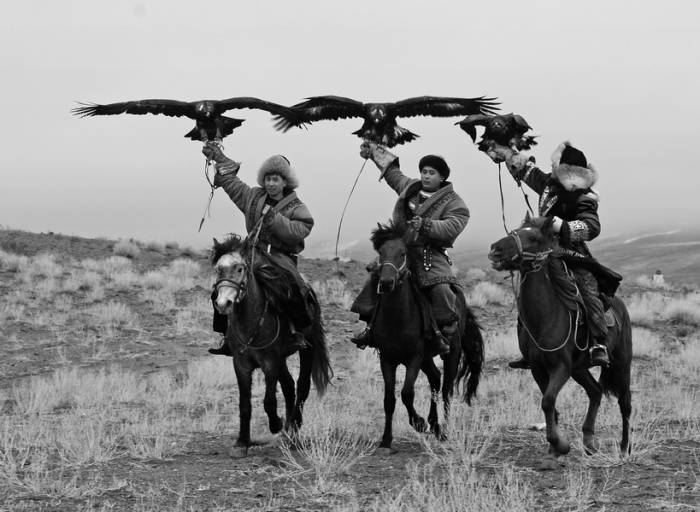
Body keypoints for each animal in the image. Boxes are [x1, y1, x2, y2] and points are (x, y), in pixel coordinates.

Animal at [211, 235, 333, 458]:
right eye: (218, 269)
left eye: (240, 268)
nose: (223, 303)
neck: (251, 322)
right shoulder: (241, 364)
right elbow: (245, 404)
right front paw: (242, 442)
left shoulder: (269, 363)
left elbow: (269, 401)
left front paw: (276, 424)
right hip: (281, 359)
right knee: (289, 386)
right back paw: (288, 429)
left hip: (306, 350)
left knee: (302, 387)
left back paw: (294, 428)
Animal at [368, 222, 484, 453]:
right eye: (381, 253)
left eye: (403, 253)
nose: (386, 282)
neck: (397, 318)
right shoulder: (387, 359)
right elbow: (389, 399)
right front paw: (386, 439)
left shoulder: (413, 357)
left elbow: (407, 393)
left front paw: (419, 423)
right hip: (427, 358)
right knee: (435, 379)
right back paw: (435, 424)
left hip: (450, 353)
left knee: (447, 389)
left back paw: (444, 430)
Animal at [488, 214, 632, 468]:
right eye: (515, 230)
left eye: (533, 238)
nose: (496, 249)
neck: (546, 315)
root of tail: (619, 306)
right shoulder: (537, 368)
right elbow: (550, 405)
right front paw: (553, 450)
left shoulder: (561, 367)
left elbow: (548, 401)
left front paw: (561, 446)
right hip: (579, 368)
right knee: (595, 392)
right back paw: (589, 442)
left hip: (621, 364)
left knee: (625, 404)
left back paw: (624, 449)